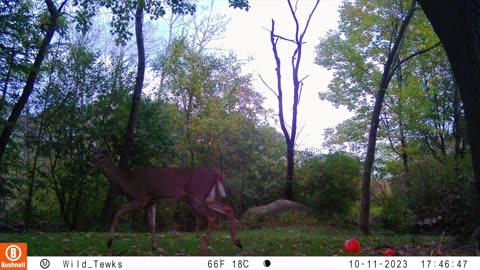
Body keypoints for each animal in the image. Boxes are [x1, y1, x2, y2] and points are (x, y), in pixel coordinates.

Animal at [88, 147, 242, 252]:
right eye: (93, 155)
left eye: (101, 156)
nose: (89, 164)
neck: (128, 182)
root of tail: (217, 174)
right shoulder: (151, 201)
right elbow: (152, 224)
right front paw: (154, 246)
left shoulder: (141, 198)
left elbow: (118, 212)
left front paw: (109, 241)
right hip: (207, 197)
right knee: (227, 208)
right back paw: (237, 242)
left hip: (196, 196)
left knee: (212, 217)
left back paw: (203, 246)